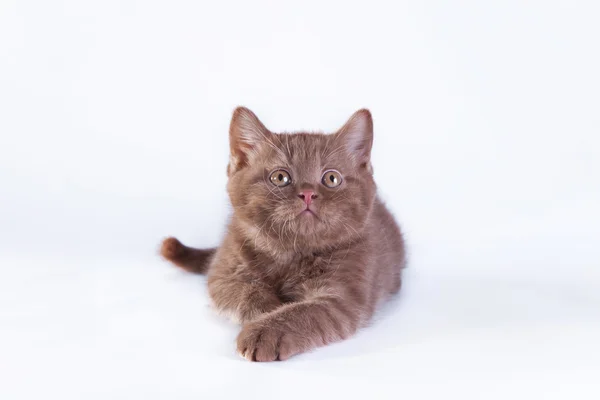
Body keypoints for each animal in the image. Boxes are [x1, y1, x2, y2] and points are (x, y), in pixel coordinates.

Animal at [159, 107, 406, 362]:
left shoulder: (343, 296)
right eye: (280, 178)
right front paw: (269, 309)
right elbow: (245, 291)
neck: (291, 252)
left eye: (331, 178)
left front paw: (264, 332)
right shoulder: (224, 271)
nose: (307, 193)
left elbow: (308, 311)